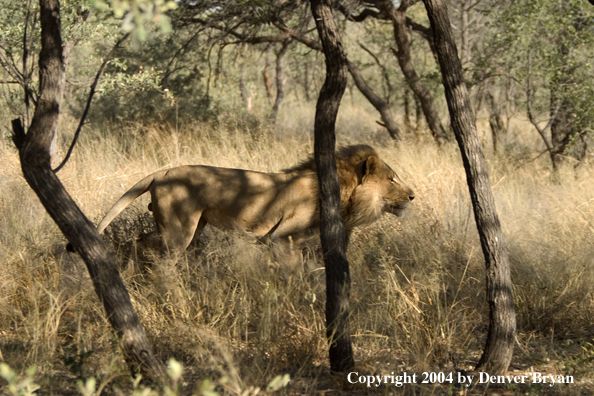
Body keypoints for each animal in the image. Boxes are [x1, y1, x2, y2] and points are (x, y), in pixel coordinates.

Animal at [90, 145, 414, 260]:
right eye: (392, 179)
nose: (412, 196)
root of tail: (163, 172)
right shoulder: (282, 238)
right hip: (179, 230)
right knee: (164, 259)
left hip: (191, 225)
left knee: (140, 239)